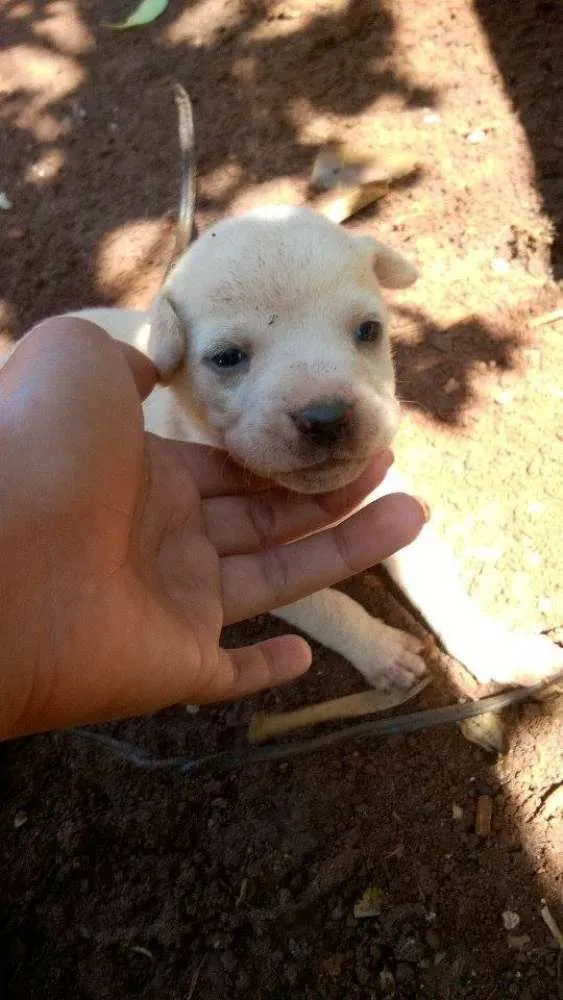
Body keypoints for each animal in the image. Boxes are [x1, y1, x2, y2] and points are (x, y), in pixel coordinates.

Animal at [67, 201, 563, 688]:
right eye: (226, 358)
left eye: (369, 330)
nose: (326, 417)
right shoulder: (248, 568)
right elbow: (328, 606)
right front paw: (382, 651)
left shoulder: (390, 498)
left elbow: (438, 585)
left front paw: (496, 649)